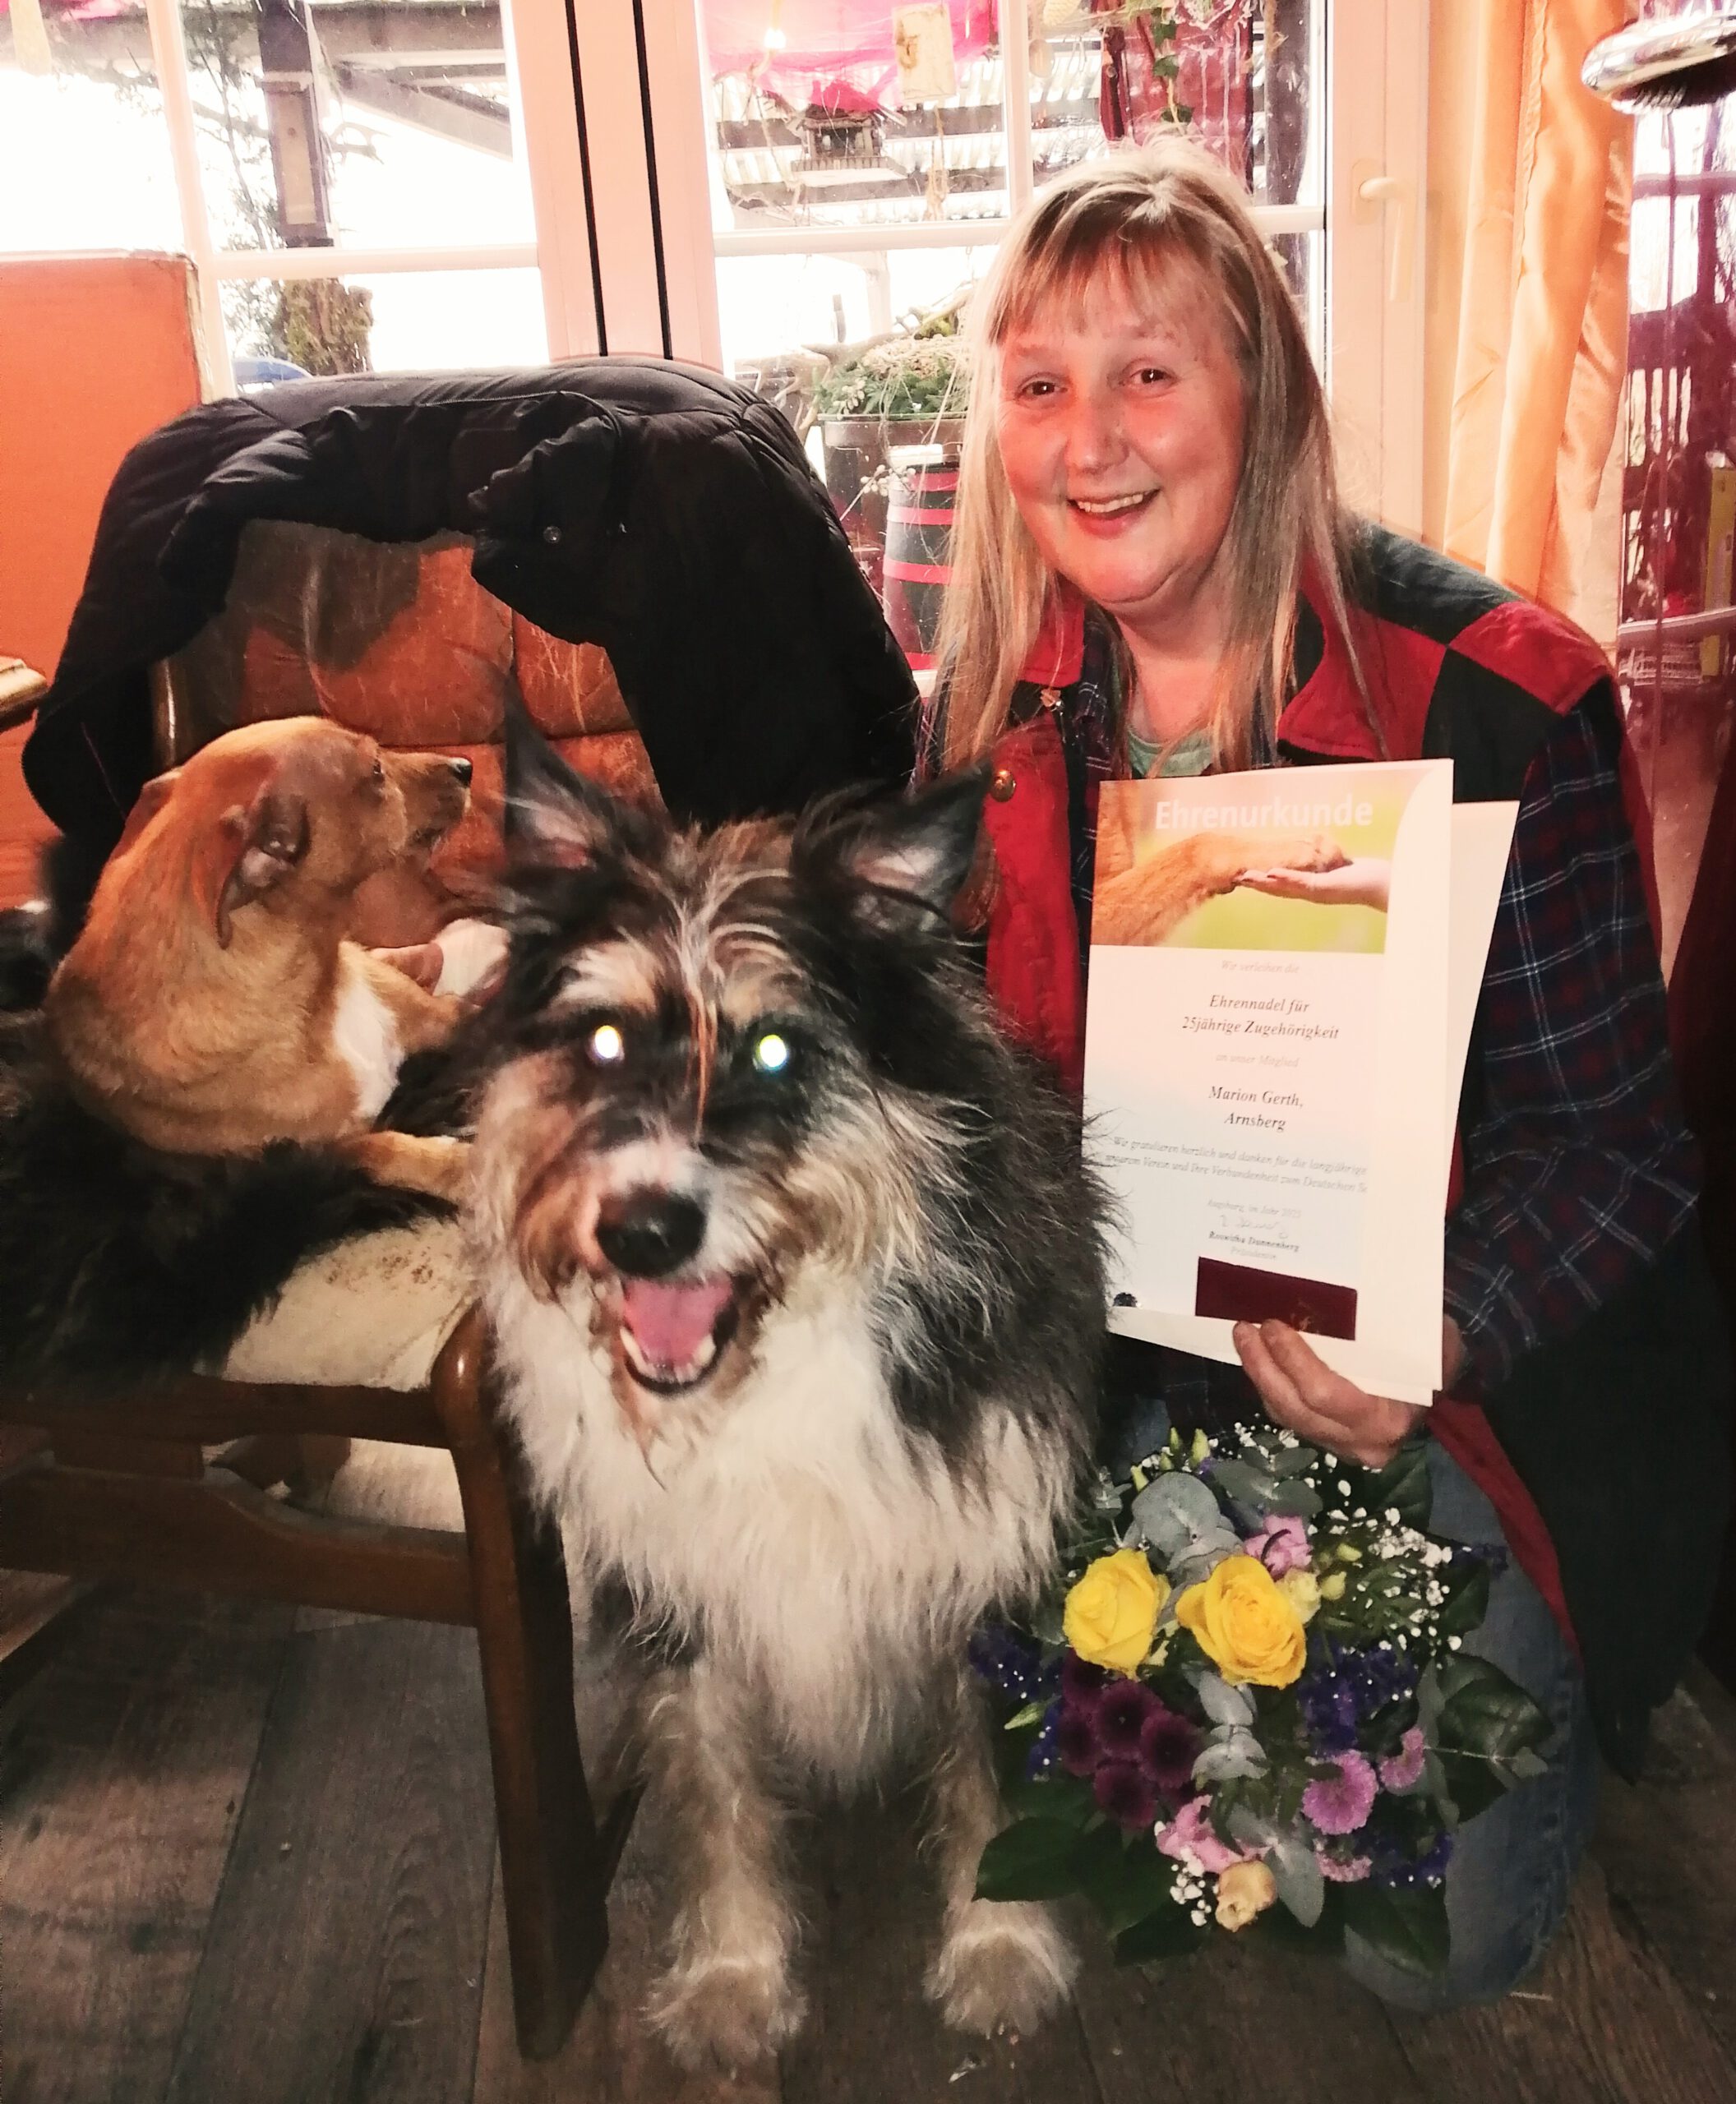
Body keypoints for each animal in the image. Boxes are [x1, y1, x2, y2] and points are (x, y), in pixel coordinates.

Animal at [46, 718, 475, 1200]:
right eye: (377, 771)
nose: (466, 767)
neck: (317, 992)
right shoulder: (323, 1152)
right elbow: (389, 1151)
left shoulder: (440, 1015)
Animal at [469, 711, 1109, 2070]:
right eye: (603, 1040)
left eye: (772, 1046)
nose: (644, 1230)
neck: (778, 1366)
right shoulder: (684, 1598)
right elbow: (715, 1783)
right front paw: (733, 1973)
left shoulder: (985, 1564)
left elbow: (988, 1777)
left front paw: (999, 1943)